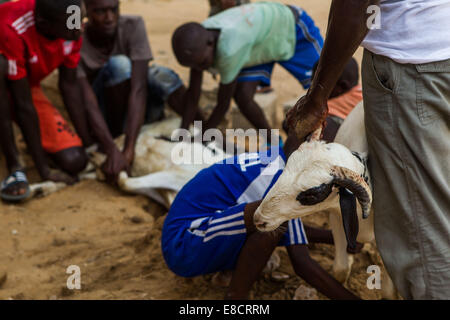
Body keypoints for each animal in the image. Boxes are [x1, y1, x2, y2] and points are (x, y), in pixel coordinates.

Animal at [253, 103, 398, 300]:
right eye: (286, 167)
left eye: (312, 195)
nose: (258, 219)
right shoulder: (336, 219)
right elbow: (340, 270)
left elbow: (391, 292)